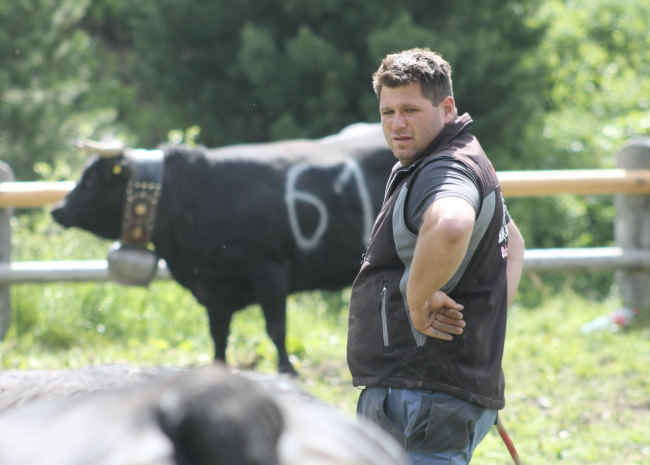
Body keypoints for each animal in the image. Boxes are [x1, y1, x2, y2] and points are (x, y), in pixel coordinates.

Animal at [50, 121, 392, 372]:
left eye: (92, 180)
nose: (57, 209)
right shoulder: (213, 288)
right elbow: (218, 336)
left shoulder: (270, 269)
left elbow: (276, 327)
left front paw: (287, 370)